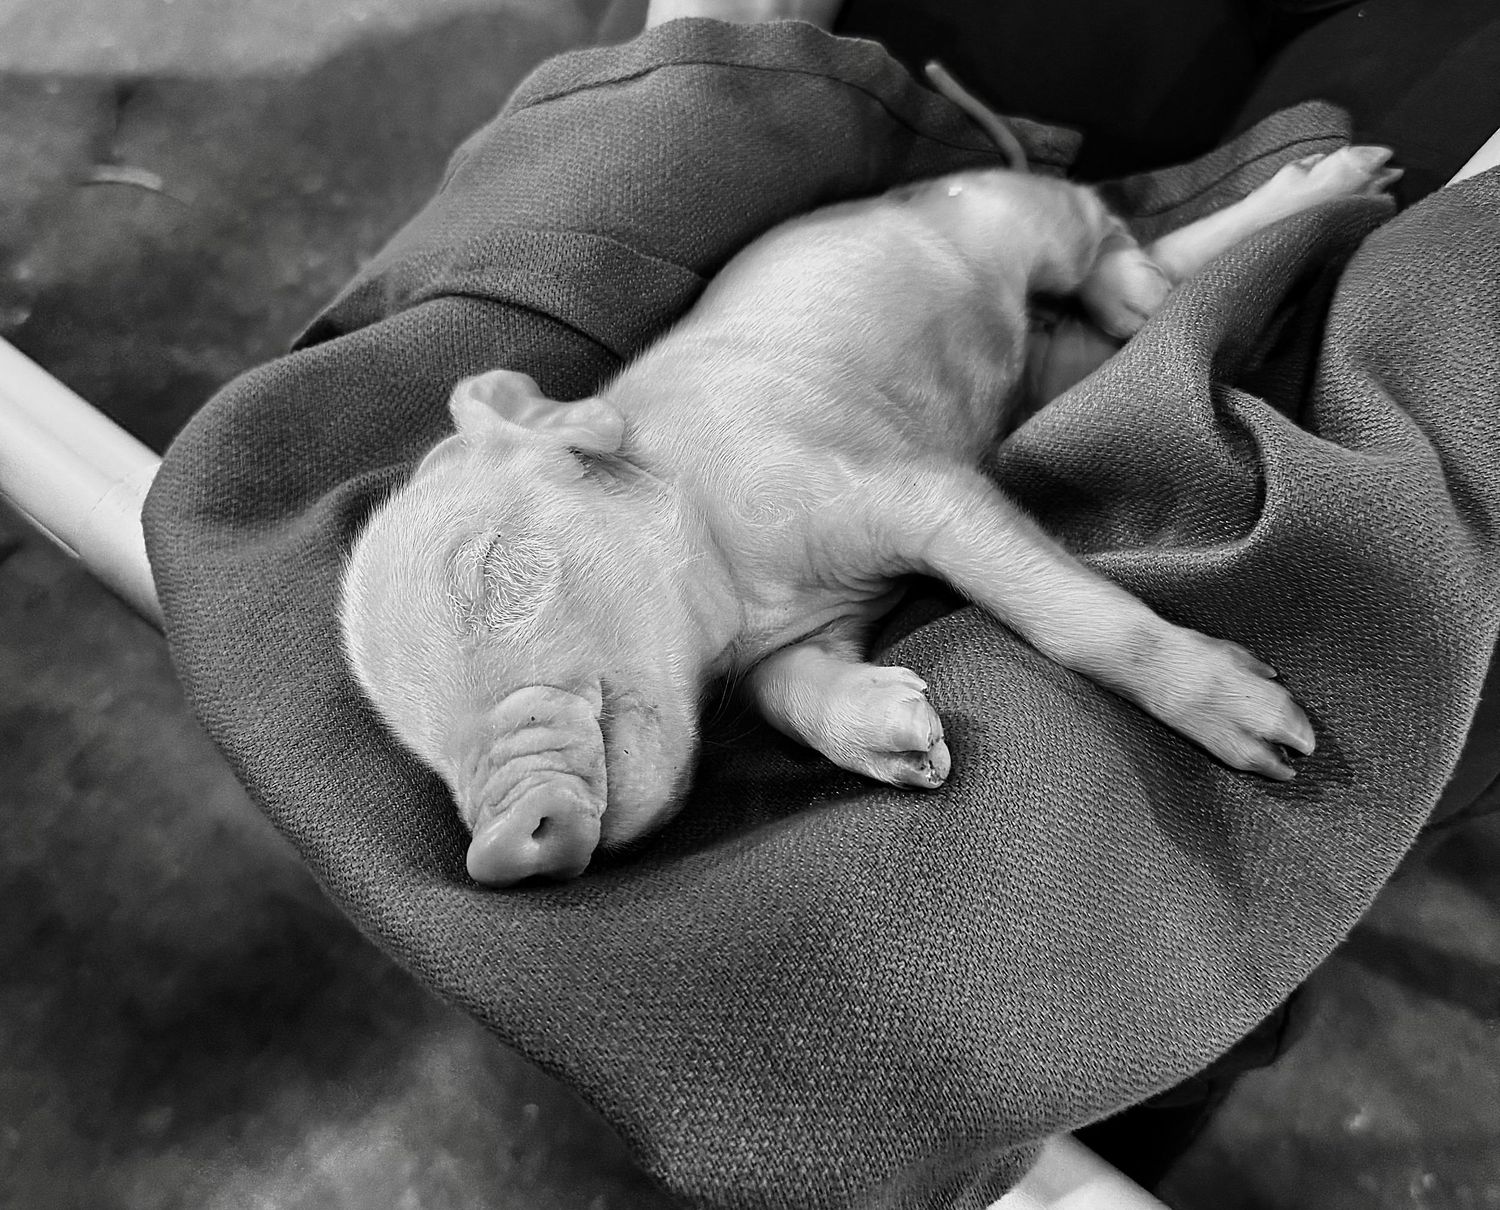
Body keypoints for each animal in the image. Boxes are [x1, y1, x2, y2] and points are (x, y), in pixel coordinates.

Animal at [340, 143, 1401, 886]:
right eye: (410, 739)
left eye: (486, 569)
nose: (496, 854)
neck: (737, 595)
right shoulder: (793, 642)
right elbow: (789, 693)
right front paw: (911, 744)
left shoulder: (911, 489)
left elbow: (1064, 616)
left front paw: (1278, 736)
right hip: (1058, 353)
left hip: (1017, 212)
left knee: (1103, 223)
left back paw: (1322, 196)